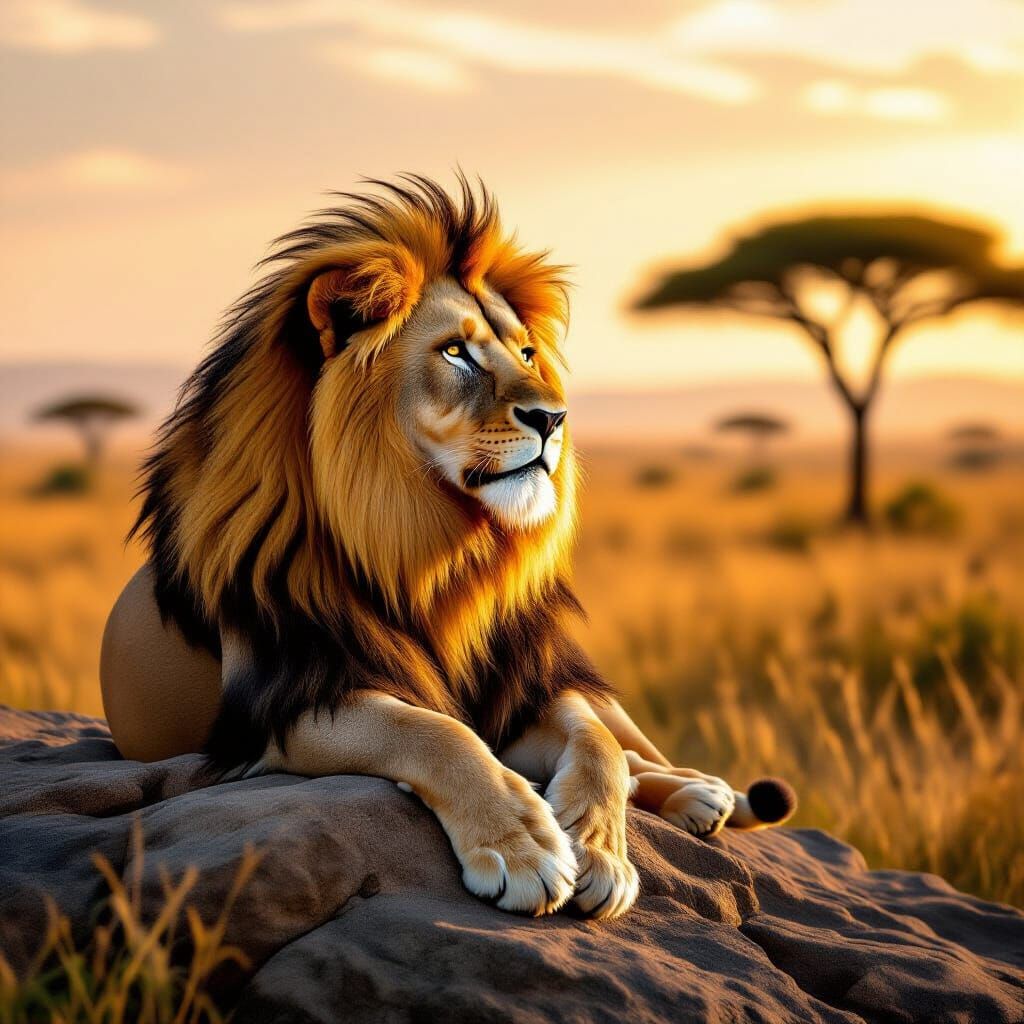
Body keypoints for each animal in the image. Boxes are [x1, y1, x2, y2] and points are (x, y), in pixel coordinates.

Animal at [100, 175, 794, 921]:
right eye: (456, 352)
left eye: (526, 353)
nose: (554, 417)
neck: (430, 554)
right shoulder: (283, 709)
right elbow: (433, 732)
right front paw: (523, 847)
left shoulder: (517, 690)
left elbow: (597, 743)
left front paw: (600, 849)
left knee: (632, 744)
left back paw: (699, 791)